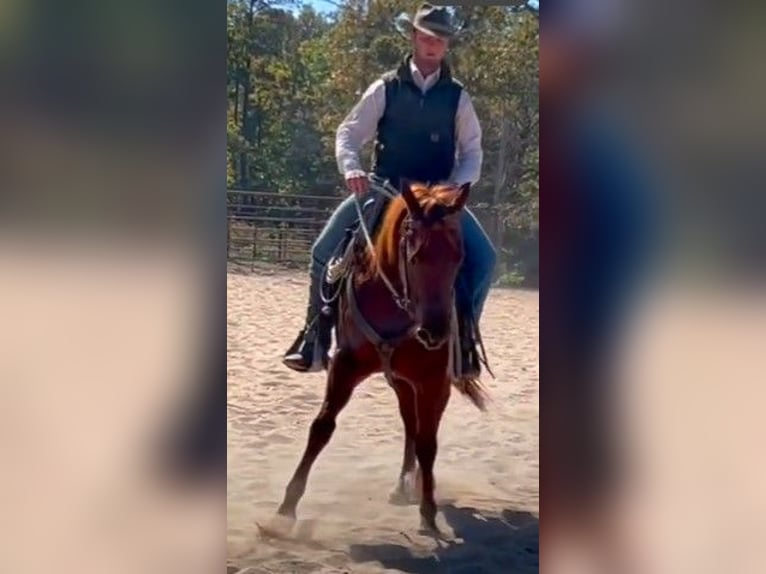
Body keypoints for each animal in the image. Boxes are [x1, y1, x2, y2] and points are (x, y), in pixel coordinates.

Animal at [272, 180, 488, 536]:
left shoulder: (431, 380)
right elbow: (322, 427)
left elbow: (429, 443)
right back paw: (402, 486)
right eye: (414, 257)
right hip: (400, 382)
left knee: (424, 430)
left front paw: (428, 512)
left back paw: (416, 485)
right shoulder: (345, 365)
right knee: (410, 425)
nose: (435, 332)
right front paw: (285, 510)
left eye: (459, 257)